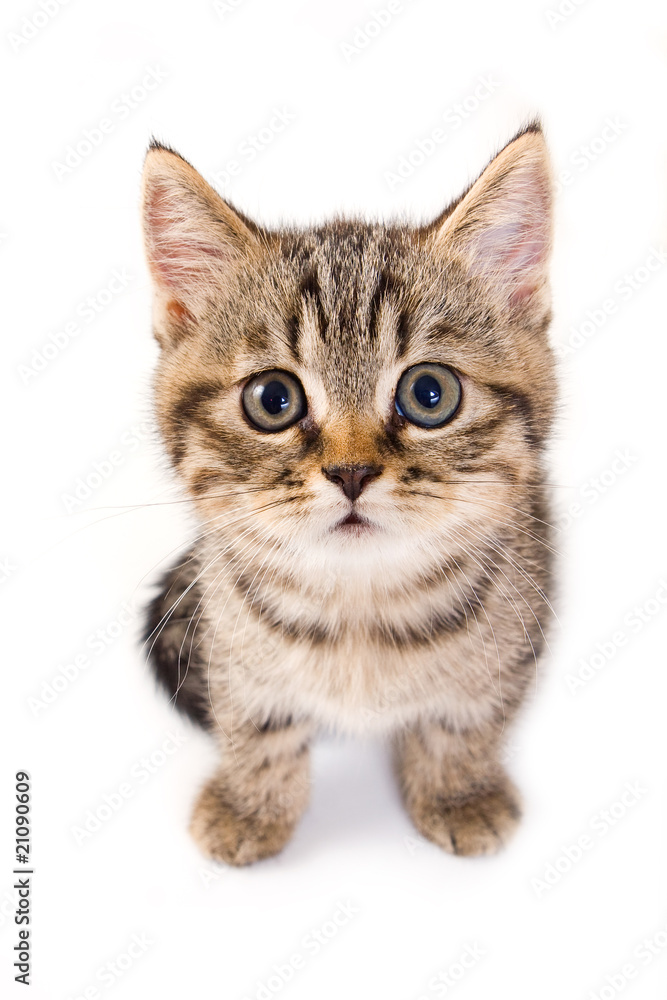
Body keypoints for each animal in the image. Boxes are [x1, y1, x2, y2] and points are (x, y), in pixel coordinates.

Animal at [142, 121, 560, 864]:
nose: (351, 472)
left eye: (430, 394)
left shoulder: (519, 622)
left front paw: (458, 790)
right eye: (272, 399)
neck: (358, 608)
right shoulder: (230, 636)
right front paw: (251, 803)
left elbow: (469, 717)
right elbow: (253, 717)